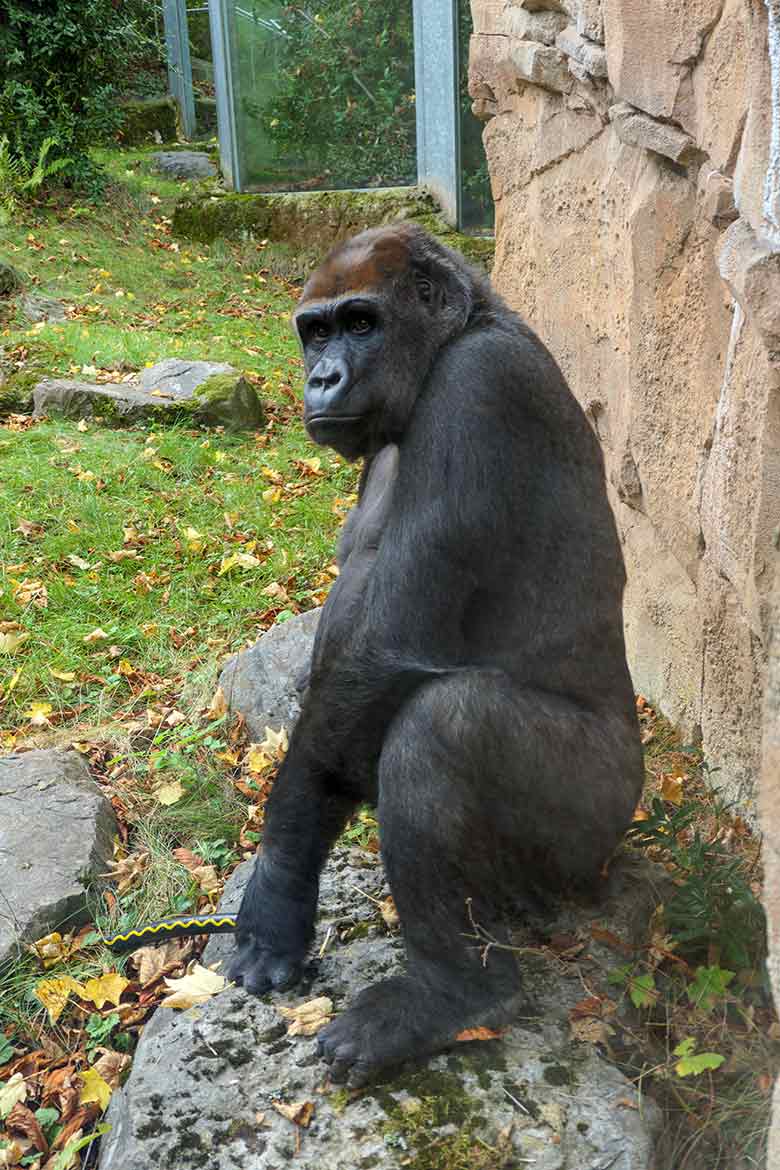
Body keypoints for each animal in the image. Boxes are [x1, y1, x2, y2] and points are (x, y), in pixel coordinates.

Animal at [229, 221, 645, 1085]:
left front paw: (279, 877)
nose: (322, 378)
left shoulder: (479, 393)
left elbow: (389, 652)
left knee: (443, 725)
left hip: (600, 819)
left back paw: (456, 994)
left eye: (361, 324)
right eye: (314, 331)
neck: (465, 326)